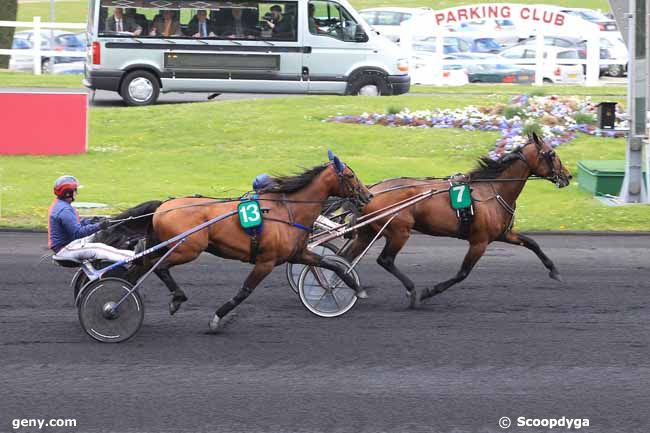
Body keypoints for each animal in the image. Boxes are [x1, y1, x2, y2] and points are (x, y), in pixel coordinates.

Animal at [148, 152, 370, 330]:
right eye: (350, 175)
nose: (368, 195)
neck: (288, 211)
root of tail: (162, 207)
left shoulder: (299, 254)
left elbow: (330, 265)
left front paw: (350, 289)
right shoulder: (266, 262)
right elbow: (244, 291)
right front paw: (216, 319)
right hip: (187, 250)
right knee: (160, 267)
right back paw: (177, 298)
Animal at [342, 133, 568, 306]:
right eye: (552, 154)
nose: (567, 176)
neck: (493, 190)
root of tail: (370, 190)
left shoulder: (503, 234)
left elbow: (532, 243)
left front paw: (555, 271)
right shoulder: (479, 242)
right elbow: (462, 273)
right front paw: (429, 291)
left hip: (369, 231)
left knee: (346, 259)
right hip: (399, 231)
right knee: (385, 260)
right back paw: (411, 290)